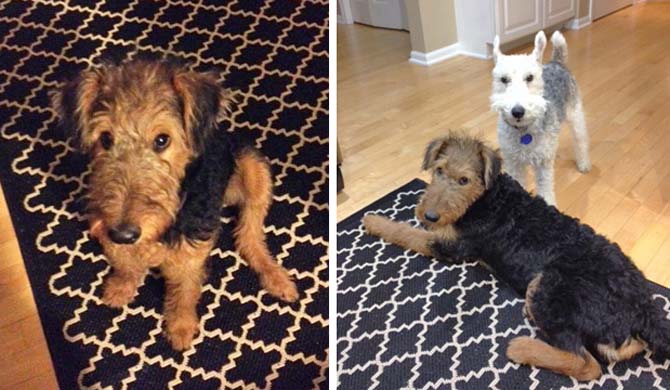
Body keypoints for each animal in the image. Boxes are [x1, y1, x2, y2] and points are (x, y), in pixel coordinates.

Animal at [55, 58, 300, 350]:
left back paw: (276, 277)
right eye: (105, 139)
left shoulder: (190, 251)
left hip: (253, 168)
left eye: (162, 139)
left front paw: (180, 326)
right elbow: (125, 263)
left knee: (250, 234)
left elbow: (184, 290)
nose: (123, 233)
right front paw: (121, 287)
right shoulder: (105, 229)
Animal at [364, 133, 668, 380]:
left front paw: (373, 220)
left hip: (549, 286)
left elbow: (405, 232)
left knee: (586, 364)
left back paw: (522, 347)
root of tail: (645, 310)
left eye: (464, 180)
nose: (429, 215)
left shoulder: (452, 246)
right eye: (439, 170)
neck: (487, 196)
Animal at [490, 30, 592, 206]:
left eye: (530, 77)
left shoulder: (543, 166)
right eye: (504, 79)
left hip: (575, 115)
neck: (524, 132)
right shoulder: (513, 162)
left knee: (581, 140)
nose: (518, 111)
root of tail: (556, 62)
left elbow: (546, 191)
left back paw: (583, 164)